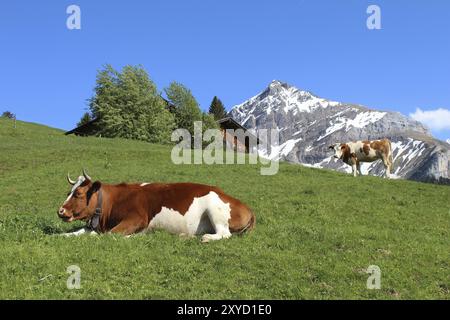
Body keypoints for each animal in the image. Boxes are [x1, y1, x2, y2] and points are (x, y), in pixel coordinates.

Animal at [56, 169, 255, 241]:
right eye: (68, 193)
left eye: (78, 193)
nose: (60, 211)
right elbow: (76, 232)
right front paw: (60, 235)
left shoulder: (137, 218)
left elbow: (110, 235)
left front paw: (133, 237)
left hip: (215, 209)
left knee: (224, 234)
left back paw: (206, 238)